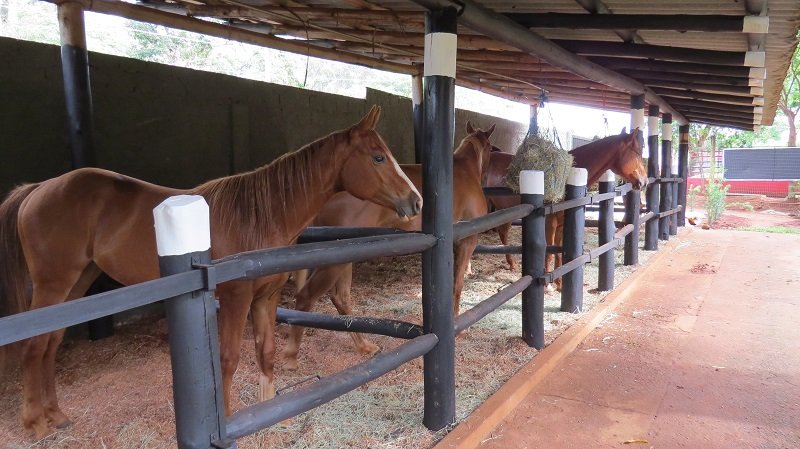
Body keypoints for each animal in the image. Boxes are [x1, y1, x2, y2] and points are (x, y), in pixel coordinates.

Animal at [0, 106, 424, 438]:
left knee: (51, 344)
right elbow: (228, 358)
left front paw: (273, 416)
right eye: (378, 157)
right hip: (53, 284)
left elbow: (266, 352)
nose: (416, 201)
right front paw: (231, 416)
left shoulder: (266, 297)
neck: (259, 215)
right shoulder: (235, 298)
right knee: (35, 346)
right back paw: (35, 423)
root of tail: (39, 188)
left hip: (78, 282)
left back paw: (56, 415)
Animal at [282, 121, 494, 370]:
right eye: (492, 148)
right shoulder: (467, 241)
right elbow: (457, 285)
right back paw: (295, 355)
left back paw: (361, 345)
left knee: (332, 295)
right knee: (315, 297)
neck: (464, 171)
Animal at [484, 127, 648, 280]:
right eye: (637, 153)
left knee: (503, 233)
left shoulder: (562, 222)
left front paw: (559, 284)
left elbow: (559, 251)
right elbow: (549, 251)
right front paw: (548, 285)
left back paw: (511, 264)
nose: (644, 181)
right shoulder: (550, 222)